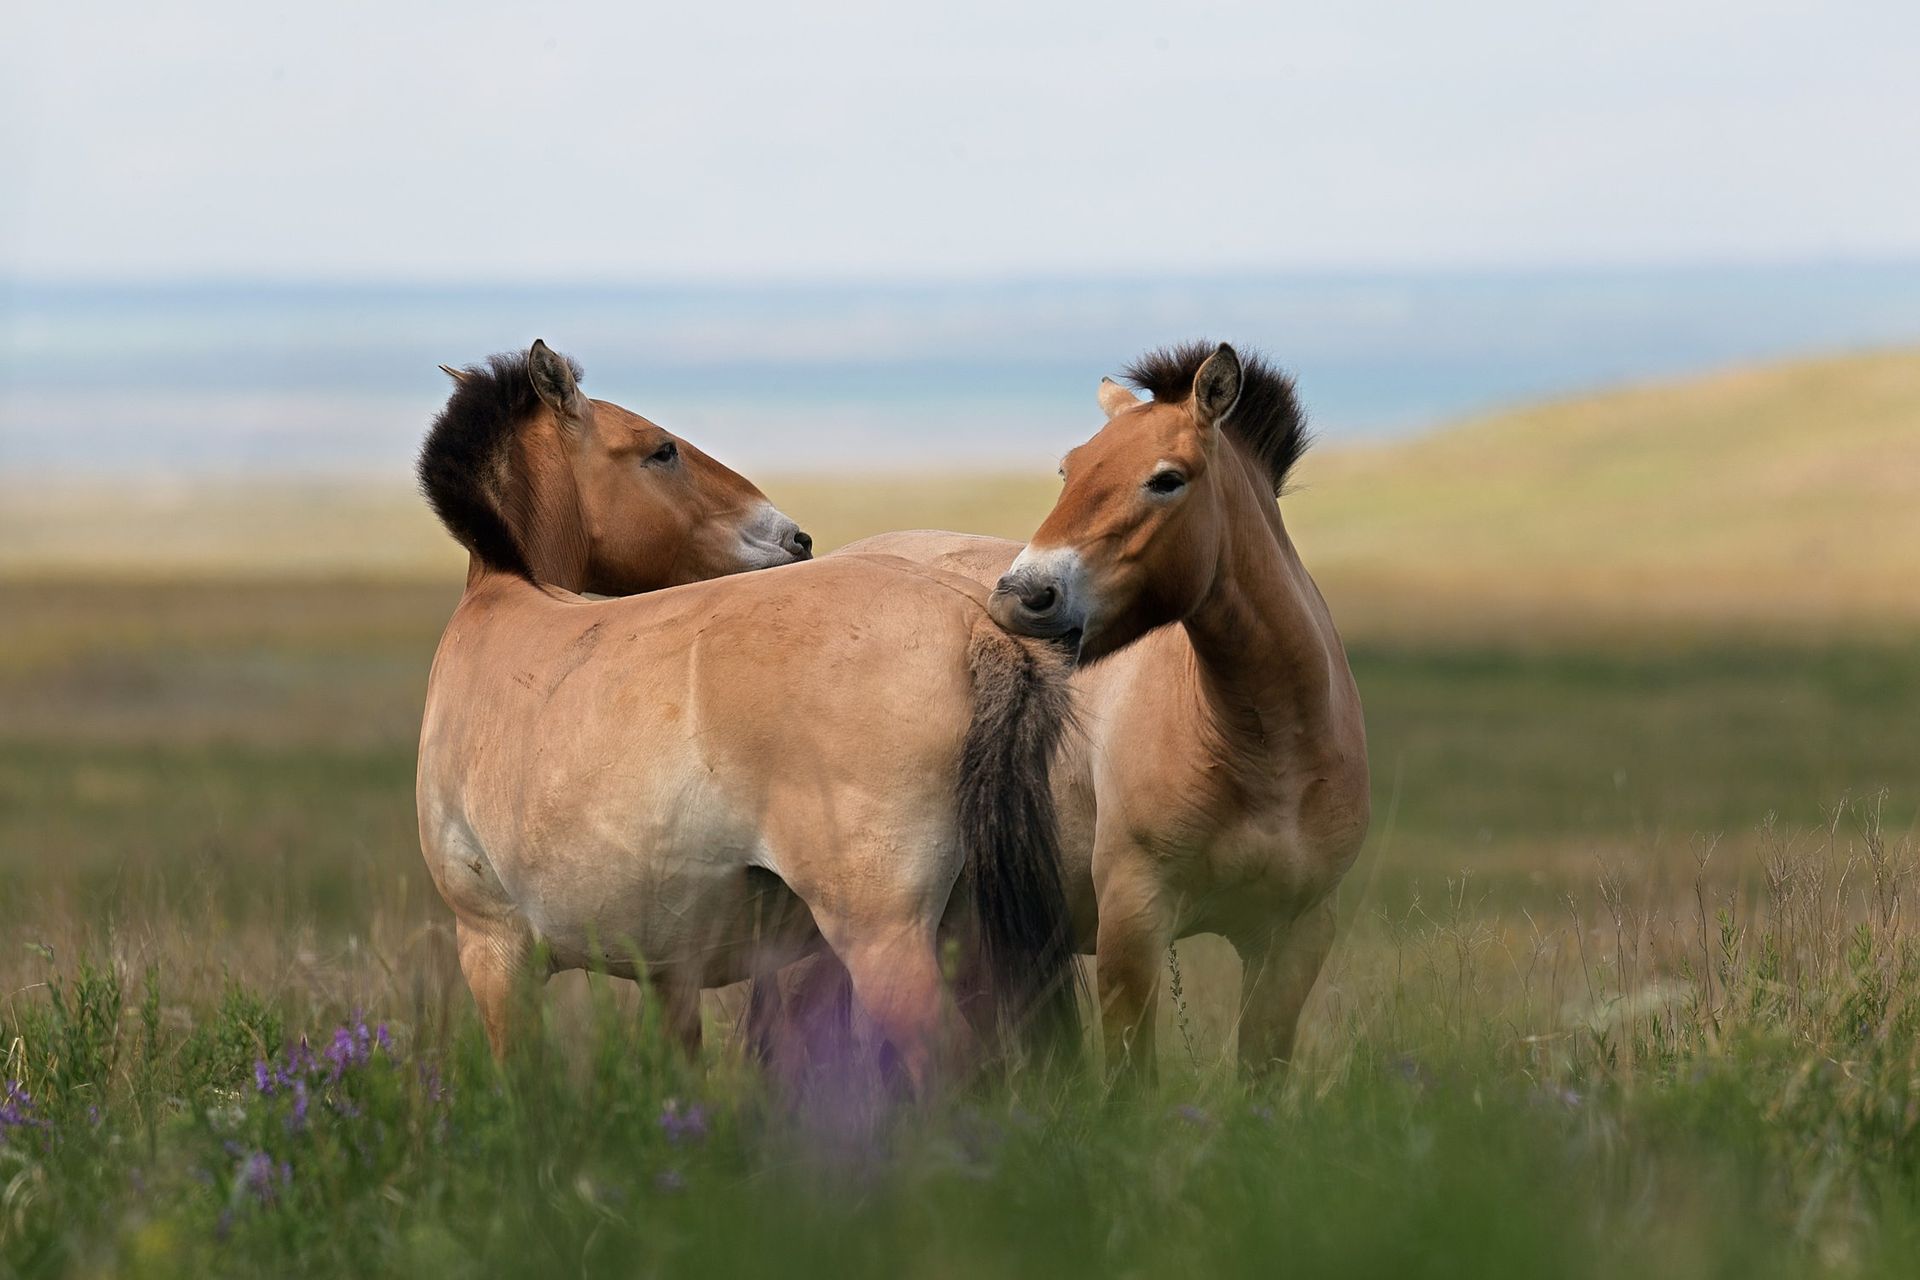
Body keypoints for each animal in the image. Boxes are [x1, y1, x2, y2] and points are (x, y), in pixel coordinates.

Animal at [414, 343, 1082, 1090]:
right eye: (661, 451)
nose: (795, 537)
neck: (500, 602)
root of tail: (974, 623)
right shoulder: (666, 975)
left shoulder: (495, 954)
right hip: (968, 933)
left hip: (886, 941)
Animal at [840, 345, 1367, 1090]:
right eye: (1070, 468)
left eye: (1167, 480)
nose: (1022, 595)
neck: (1267, 750)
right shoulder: (1132, 925)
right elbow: (1129, 1080)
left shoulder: (1292, 937)